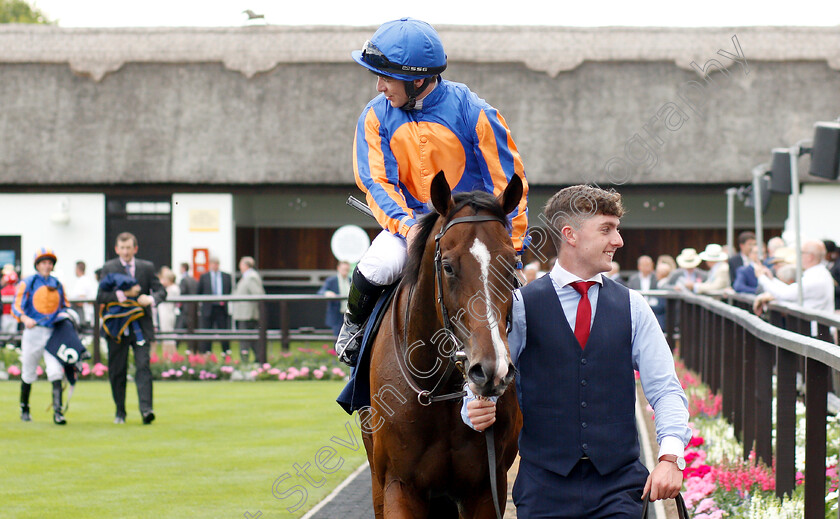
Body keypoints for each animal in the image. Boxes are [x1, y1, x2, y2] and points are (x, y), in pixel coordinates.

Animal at [358, 173, 520, 516]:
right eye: (447, 266)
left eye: (512, 265)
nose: (491, 370)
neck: (438, 389)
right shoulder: (398, 485)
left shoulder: (487, 488)